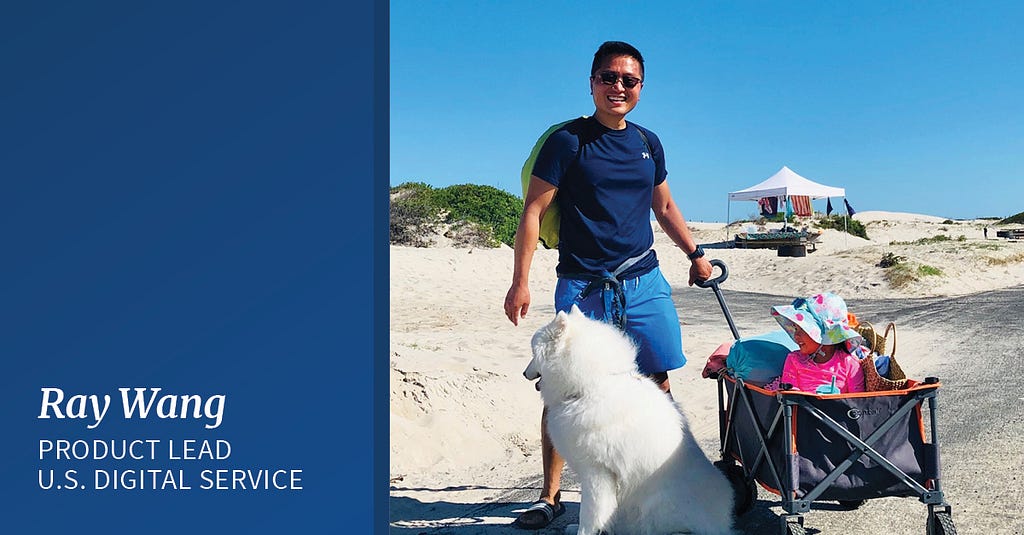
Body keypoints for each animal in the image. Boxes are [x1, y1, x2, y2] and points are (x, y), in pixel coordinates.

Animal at [524, 303, 733, 532]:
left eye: (533, 353)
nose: (524, 373)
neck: (592, 384)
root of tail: (722, 522)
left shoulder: (596, 472)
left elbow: (589, 515)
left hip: (656, 505)